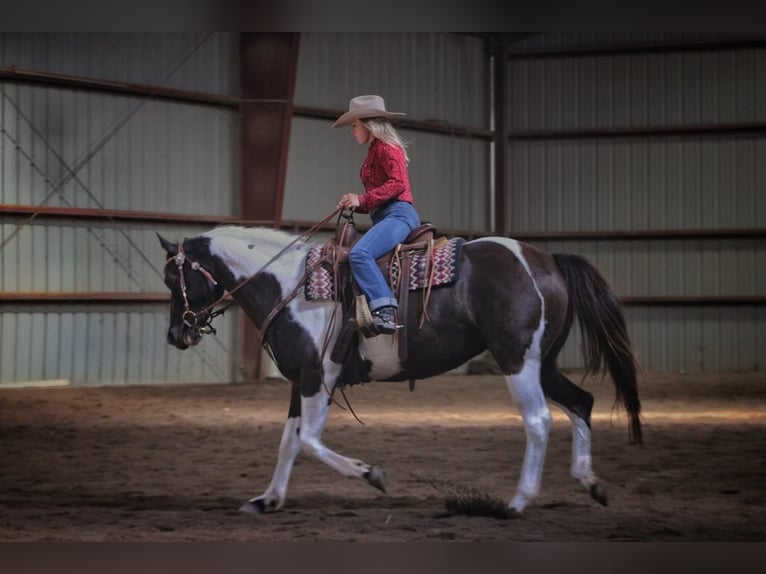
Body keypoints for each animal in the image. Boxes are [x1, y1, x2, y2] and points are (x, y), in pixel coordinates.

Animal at [159, 222, 644, 516]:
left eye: (171, 279)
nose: (176, 335)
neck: (290, 284)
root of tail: (546, 259)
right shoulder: (301, 381)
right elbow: (289, 443)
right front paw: (267, 499)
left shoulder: (320, 377)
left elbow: (310, 441)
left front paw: (371, 474)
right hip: (542, 363)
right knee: (581, 402)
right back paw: (590, 482)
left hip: (517, 360)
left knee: (539, 420)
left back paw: (517, 502)